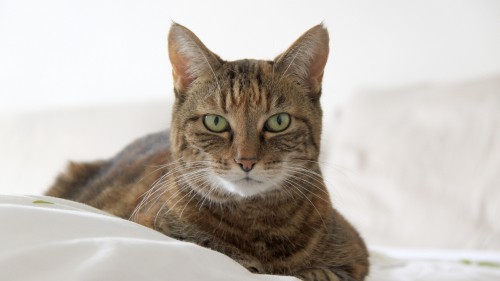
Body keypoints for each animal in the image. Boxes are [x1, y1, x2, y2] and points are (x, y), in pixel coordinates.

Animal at [46, 22, 368, 280]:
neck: (255, 222)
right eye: (215, 122)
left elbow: (319, 272)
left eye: (279, 122)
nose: (246, 161)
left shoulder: (354, 253)